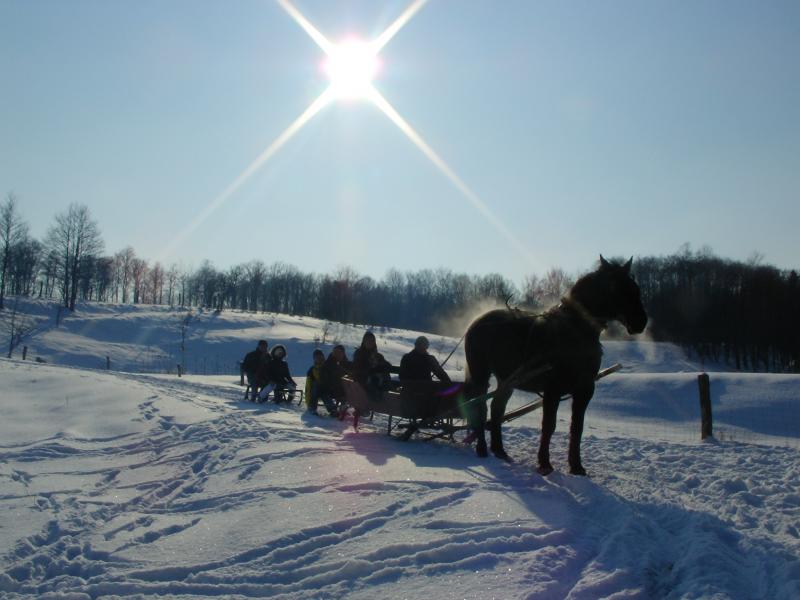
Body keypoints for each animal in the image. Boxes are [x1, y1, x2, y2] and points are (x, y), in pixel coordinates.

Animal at [462, 255, 648, 476]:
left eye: (635, 288)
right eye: (615, 288)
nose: (641, 322)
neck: (575, 330)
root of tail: (477, 322)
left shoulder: (585, 389)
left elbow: (577, 428)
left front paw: (576, 467)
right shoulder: (553, 389)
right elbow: (548, 426)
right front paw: (544, 464)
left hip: (507, 379)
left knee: (496, 408)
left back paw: (499, 450)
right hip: (481, 373)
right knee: (479, 407)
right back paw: (482, 449)